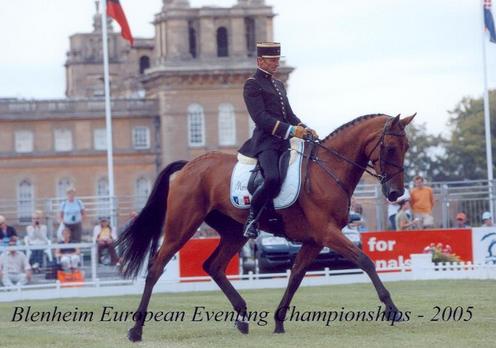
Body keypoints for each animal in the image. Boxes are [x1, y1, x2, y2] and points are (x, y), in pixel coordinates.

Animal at [118, 113, 416, 342]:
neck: (327, 171)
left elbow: (296, 276)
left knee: (214, 266)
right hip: (182, 225)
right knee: (156, 267)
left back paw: (242, 317)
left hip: (234, 232)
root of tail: (189, 166)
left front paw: (279, 322)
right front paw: (392, 309)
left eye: (407, 147)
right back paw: (136, 329)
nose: (395, 193)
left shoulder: (314, 240)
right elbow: (365, 261)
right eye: (390, 147)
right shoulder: (328, 233)